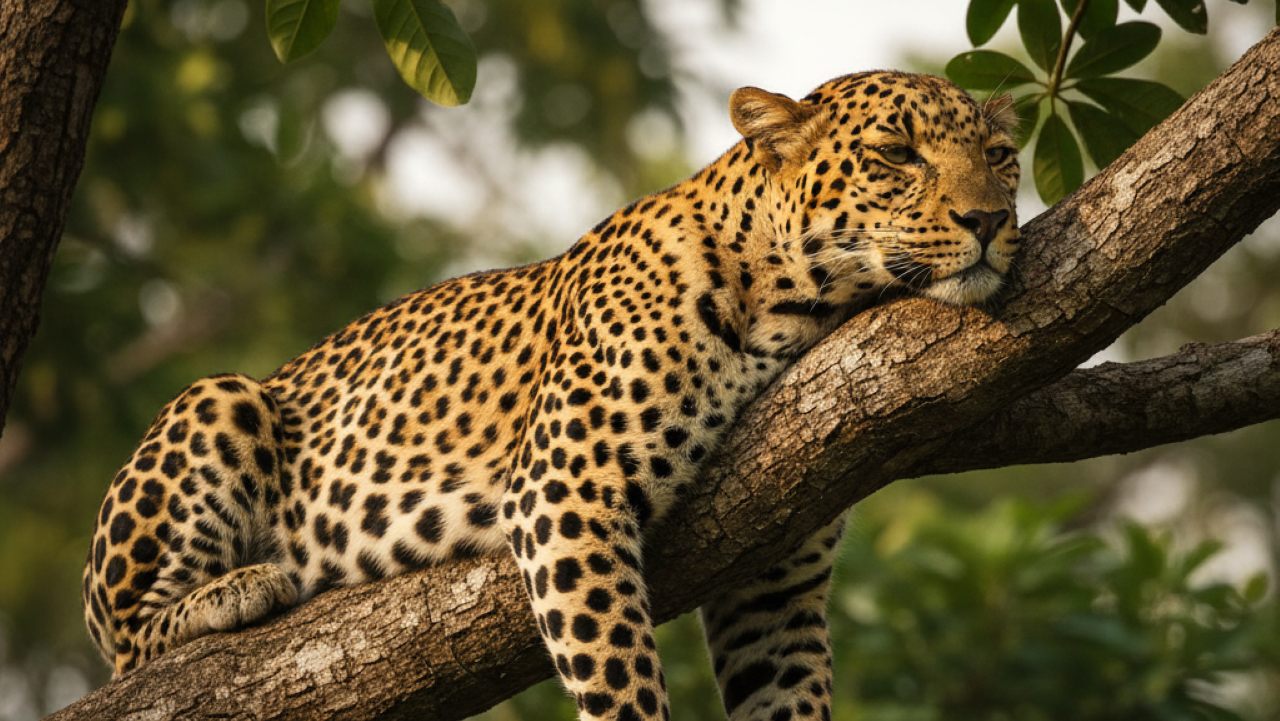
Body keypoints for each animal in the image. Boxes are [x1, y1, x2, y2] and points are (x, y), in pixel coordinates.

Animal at [82, 70, 1020, 721]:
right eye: (896, 154)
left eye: (1001, 157)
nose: (990, 220)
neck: (797, 307)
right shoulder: (568, 490)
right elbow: (622, 680)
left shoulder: (774, 578)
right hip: (220, 400)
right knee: (129, 647)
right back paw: (236, 589)